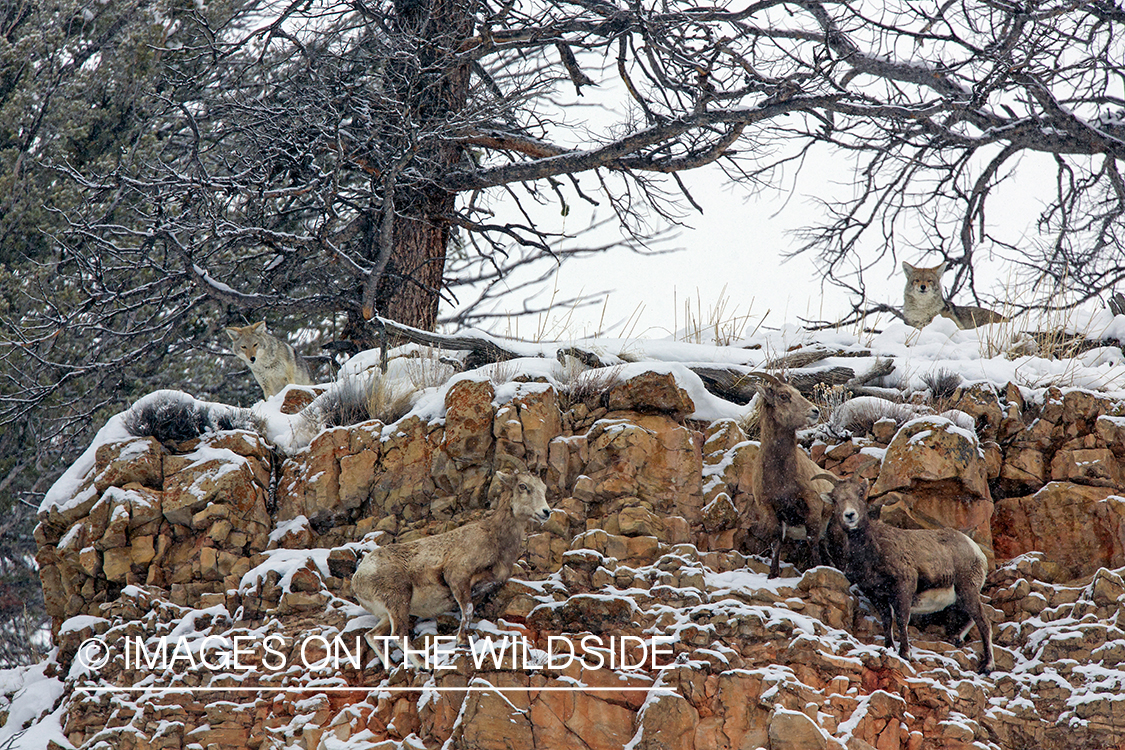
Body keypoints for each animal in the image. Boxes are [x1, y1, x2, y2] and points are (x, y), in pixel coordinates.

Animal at [351, 469, 549, 669]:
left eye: (544, 488)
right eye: (523, 486)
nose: (546, 512)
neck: (494, 539)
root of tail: (358, 578)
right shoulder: (457, 576)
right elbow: (467, 609)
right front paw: (462, 641)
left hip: (388, 613)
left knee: (372, 636)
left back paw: (392, 666)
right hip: (398, 599)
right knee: (398, 635)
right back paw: (424, 665)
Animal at [748, 372, 836, 578]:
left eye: (797, 392)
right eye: (783, 396)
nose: (814, 411)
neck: (781, 478)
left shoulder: (811, 504)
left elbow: (812, 540)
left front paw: (815, 569)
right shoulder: (769, 509)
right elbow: (776, 543)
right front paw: (773, 575)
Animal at [821, 473, 994, 674]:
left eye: (860, 492)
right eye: (835, 499)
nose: (849, 515)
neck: (873, 551)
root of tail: (975, 550)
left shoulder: (903, 588)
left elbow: (901, 619)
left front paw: (905, 654)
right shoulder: (876, 595)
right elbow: (887, 620)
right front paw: (889, 647)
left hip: (968, 590)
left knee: (984, 622)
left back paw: (987, 666)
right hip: (962, 596)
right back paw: (957, 639)